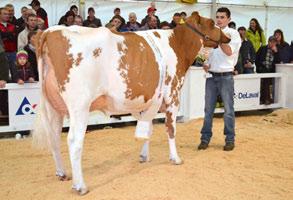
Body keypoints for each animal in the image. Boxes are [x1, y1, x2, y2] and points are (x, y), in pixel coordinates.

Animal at [31, 11, 228, 195]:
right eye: (212, 23)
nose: (227, 37)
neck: (177, 45)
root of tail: (50, 31)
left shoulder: (149, 101)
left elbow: (147, 129)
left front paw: (144, 156)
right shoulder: (173, 96)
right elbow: (171, 130)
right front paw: (176, 158)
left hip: (53, 106)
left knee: (54, 138)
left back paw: (62, 173)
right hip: (79, 105)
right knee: (73, 141)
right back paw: (80, 186)